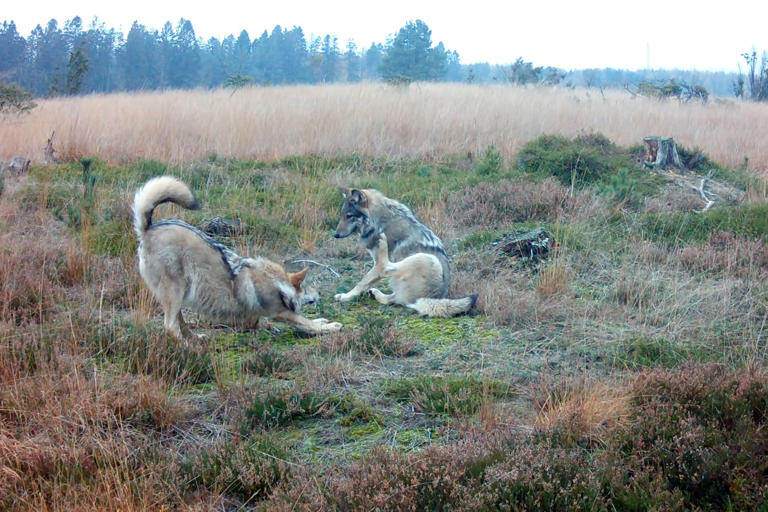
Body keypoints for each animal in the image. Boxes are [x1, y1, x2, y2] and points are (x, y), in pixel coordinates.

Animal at [134, 176, 340, 340]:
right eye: (308, 286)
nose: (320, 293)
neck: (277, 283)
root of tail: (148, 228)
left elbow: (309, 320)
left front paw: (323, 320)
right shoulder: (279, 313)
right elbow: (306, 321)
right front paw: (330, 326)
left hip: (179, 295)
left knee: (179, 322)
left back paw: (195, 338)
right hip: (175, 292)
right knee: (170, 326)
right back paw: (187, 347)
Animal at [334, 187, 476, 316]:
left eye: (349, 216)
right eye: (342, 215)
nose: (335, 235)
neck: (378, 220)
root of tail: (432, 298)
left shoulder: (377, 264)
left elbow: (362, 282)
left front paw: (345, 296)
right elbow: (366, 282)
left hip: (425, 258)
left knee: (386, 269)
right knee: (392, 299)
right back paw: (376, 294)